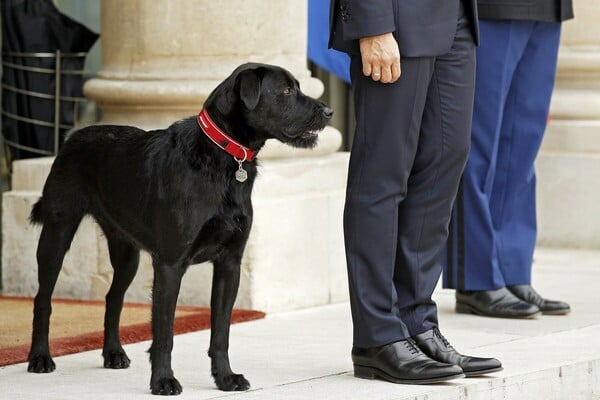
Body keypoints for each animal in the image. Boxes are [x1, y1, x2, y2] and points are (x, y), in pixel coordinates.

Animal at [25, 64, 332, 396]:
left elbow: (221, 332)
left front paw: (225, 378)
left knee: (112, 298)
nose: (329, 111)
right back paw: (40, 357)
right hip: (57, 234)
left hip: (126, 253)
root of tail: (72, 137)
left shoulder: (229, 264)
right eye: (286, 91)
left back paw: (114, 353)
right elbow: (164, 334)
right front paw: (163, 380)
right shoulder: (170, 265)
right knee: (43, 299)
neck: (222, 155)